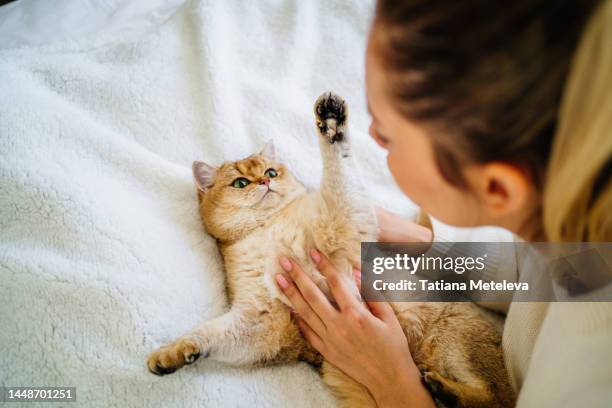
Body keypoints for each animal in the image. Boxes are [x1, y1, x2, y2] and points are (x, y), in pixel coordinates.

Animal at [146, 93, 512, 408]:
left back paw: (444, 389)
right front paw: (172, 354)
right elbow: (210, 334)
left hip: (457, 340)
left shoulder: (344, 226)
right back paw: (441, 391)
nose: (265, 182)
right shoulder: (263, 322)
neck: (268, 229)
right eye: (240, 183)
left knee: (494, 399)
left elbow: (338, 173)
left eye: (270, 171)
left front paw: (332, 122)